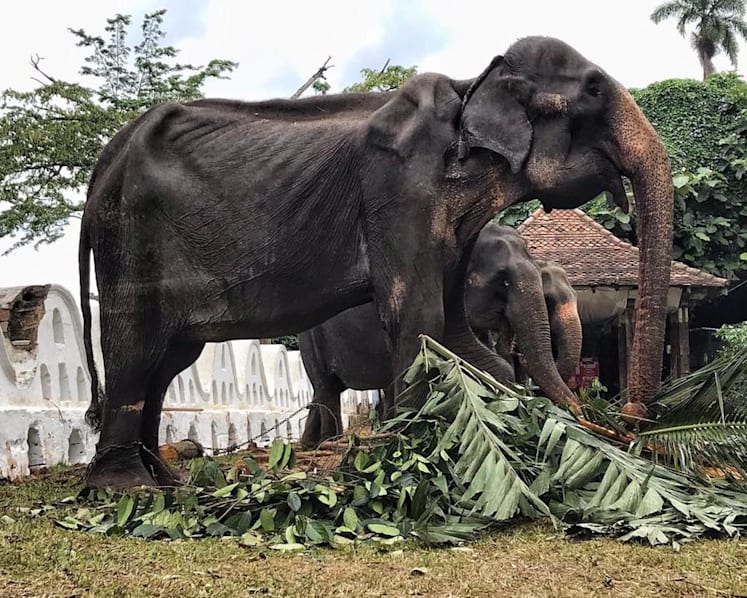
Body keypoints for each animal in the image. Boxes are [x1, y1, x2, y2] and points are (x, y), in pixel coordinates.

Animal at [298, 223, 583, 447]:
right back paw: (330, 444)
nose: (581, 415)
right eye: (502, 280)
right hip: (310, 340)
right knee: (327, 389)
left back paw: (310, 444)